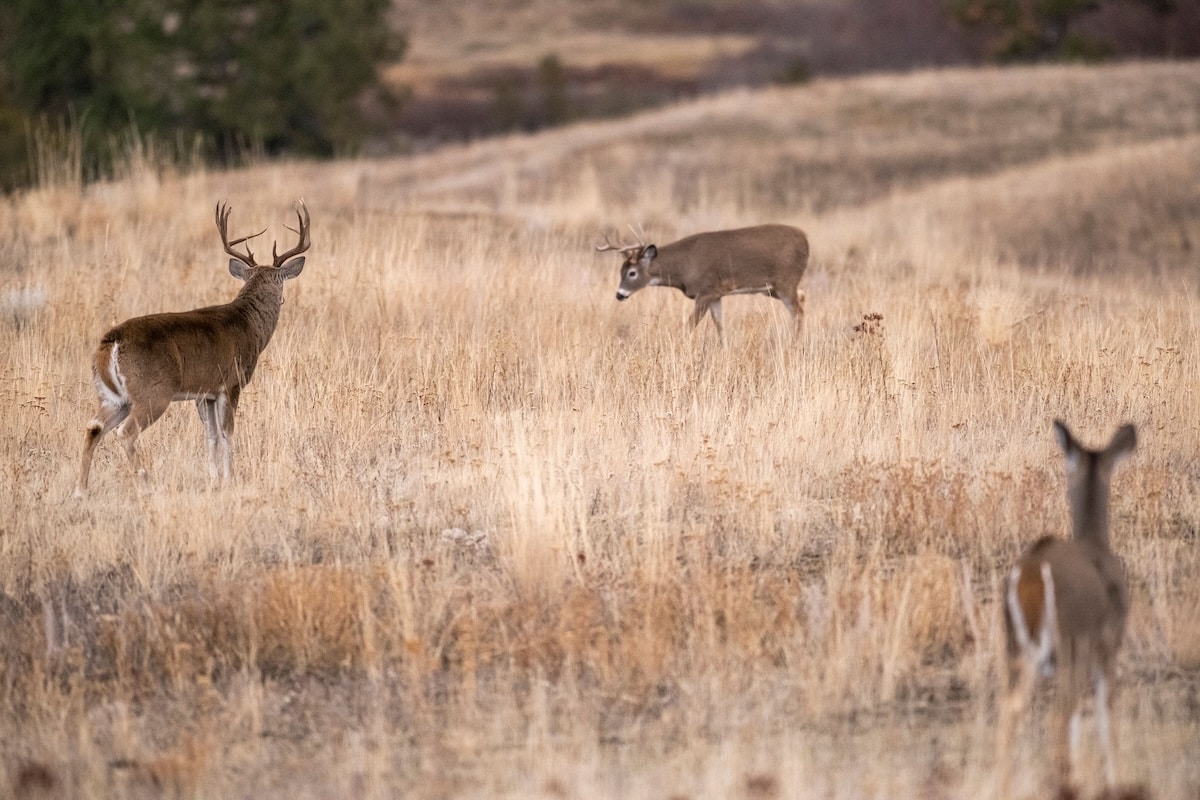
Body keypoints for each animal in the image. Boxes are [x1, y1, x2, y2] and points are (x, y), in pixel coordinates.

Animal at [75, 200, 310, 496]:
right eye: (281, 283)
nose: (282, 301)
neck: (249, 324)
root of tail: (112, 340)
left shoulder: (204, 393)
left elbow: (210, 435)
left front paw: (214, 479)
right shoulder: (230, 383)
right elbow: (227, 433)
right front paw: (230, 478)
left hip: (112, 397)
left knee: (92, 427)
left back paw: (80, 490)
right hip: (153, 392)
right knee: (126, 433)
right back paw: (146, 482)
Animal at [595, 224, 809, 340]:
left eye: (632, 273)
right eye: (621, 271)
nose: (619, 294)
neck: (685, 265)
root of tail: (806, 240)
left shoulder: (706, 291)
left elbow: (689, 326)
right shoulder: (716, 295)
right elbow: (720, 327)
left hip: (786, 282)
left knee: (797, 312)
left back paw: (793, 345)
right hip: (772, 289)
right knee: (802, 299)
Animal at [997, 420, 1137, 797]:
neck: (1095, 544)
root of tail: (1031, 573)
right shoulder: (1107, 644)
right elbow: (1105, 716)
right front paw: (1114, 781)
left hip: (1017, 648)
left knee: (1013, 709)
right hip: (1070, 646)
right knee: (1058, 714)